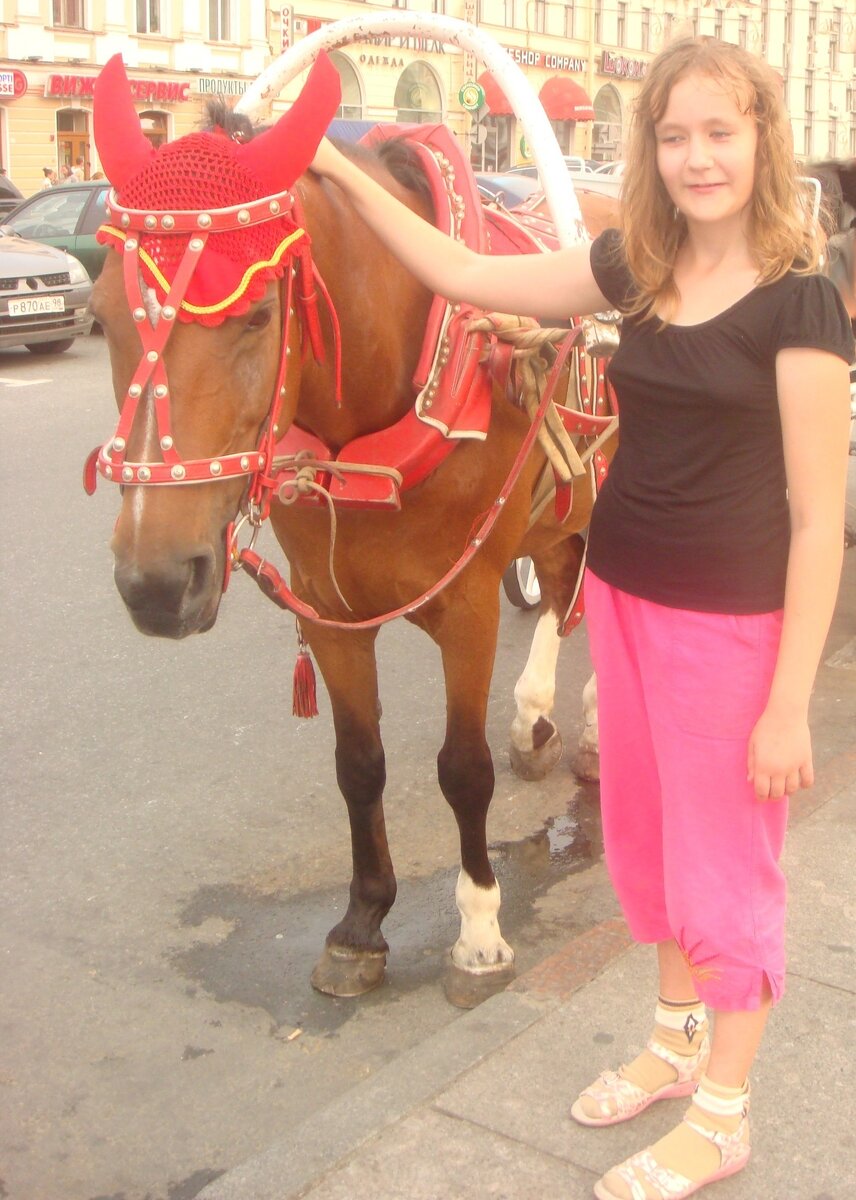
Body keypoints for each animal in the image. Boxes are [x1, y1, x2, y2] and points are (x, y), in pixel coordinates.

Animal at [85, 54, 618, 1006]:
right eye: (103, 314)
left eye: (258, 314)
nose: (155, 583)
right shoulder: (329, 609)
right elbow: (357, 762)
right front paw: (363, 921)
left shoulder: (471, 606)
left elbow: (460, 769)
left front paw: (478, 930)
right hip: (560, 504)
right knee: (564, 588)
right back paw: (543, 720)